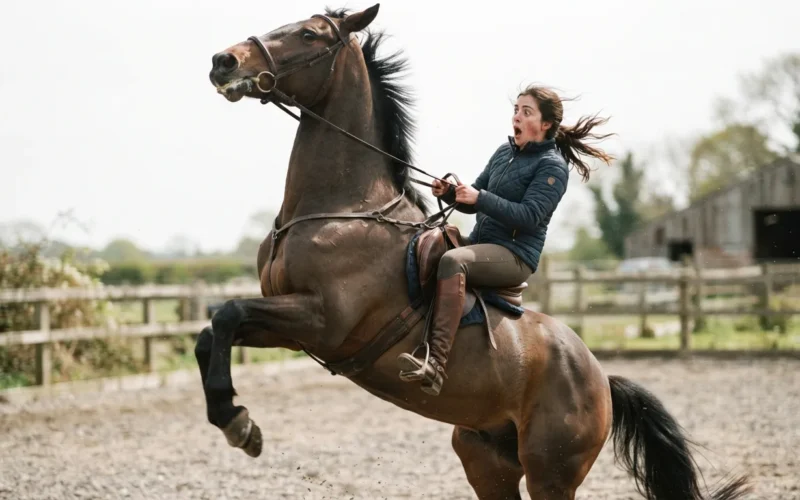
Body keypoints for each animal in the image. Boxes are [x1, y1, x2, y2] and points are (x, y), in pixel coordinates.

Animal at [198, 5, 750, 499]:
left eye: (310, 34)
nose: (224, 61)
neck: (344, 207)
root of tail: (599, 377)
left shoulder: (324, 321)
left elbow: (228, 312)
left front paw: (236, 422)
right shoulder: (291, 325)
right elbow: (214, 329)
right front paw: (236, 419)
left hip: (551, 472)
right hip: (487, 460)